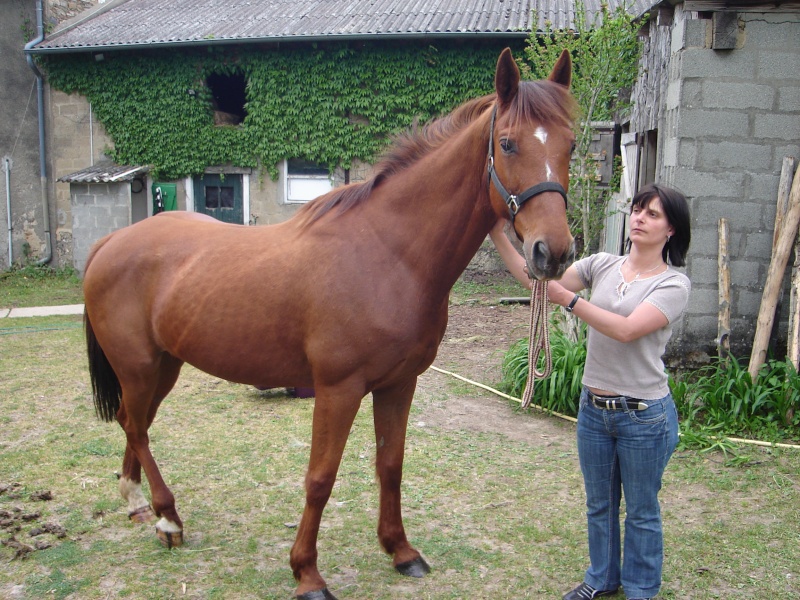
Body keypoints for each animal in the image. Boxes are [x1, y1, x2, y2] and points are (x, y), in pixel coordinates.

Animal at [83, 48, 576, 600]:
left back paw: (138, 504)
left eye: (572, 144)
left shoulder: (399, 384)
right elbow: (320, 478)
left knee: (134, 423)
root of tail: (111, 242)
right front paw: (307, 573)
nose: (553, 252)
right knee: (136, 426)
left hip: (163, 366)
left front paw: (400, 551)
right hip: (139, 366)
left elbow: (390, 465)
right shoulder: (338, 389)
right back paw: (168, 517)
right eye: (507, 143)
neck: (389, 253)